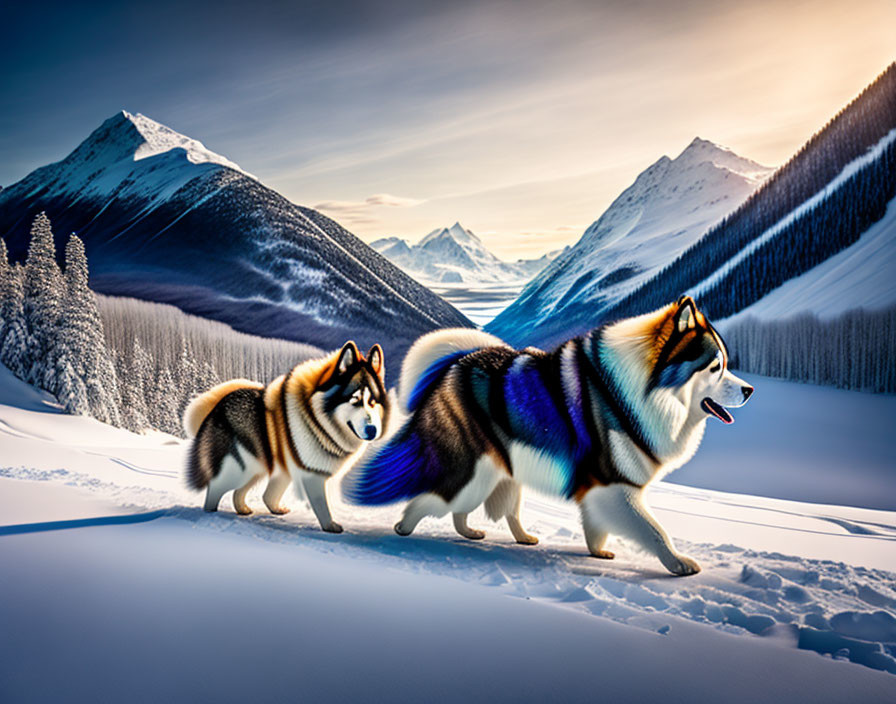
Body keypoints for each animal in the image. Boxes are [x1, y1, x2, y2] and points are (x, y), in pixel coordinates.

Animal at [183, 342, 388, 532]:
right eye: (355, 399)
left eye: (372, 401)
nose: (372, 430)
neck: (318, 421)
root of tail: (219, 403)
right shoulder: (313, 476)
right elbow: (321, 505)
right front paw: (330, 526)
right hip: (240, 470)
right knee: (216, 488)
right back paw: (210, 513)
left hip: (261, 469)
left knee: (251, 494)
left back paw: (250, 510)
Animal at [346, 294, 752, 576]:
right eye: (715, 367)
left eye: (726, 364)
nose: (749, 390)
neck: (643, 390)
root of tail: (457, 364)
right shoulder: (614, 484)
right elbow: (654, 530)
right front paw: (678, 563)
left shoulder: (599, 489)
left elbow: (597, 528)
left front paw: (598, 553)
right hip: (472, 475)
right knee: (430, 500)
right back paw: (402, 528)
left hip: (497, 475)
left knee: (481, 512)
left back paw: (506, 536)